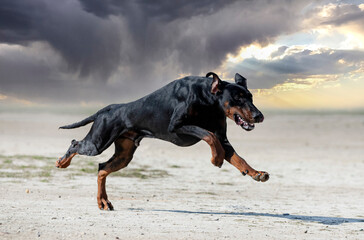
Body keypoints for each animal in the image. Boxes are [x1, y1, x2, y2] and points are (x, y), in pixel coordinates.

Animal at [56, 72, 268, 211]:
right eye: (237, 98)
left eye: (250, 97)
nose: (259, 116)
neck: (207, 98)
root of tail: (106, 109)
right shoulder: (177, 126)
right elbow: (209, 135)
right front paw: (216, 159)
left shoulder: (223, 138)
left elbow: (237, 157)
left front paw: (256, 173)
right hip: (97, 142)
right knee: (75, 144)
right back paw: (62, 162)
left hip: (124, 155)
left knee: (102, 168)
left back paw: (103, 202)